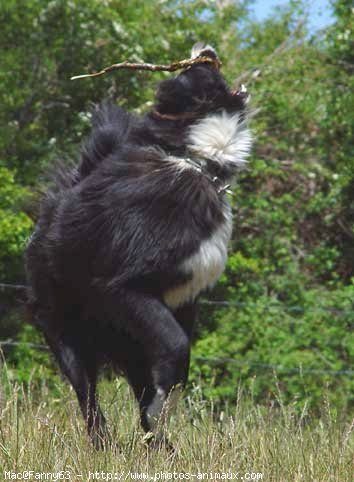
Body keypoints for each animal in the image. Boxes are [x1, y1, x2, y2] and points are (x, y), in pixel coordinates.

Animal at [26, 43, 253, 450]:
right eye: (194, 72)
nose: (204, 47)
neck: (193, 158)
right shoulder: (124, 288)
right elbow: (176, 347)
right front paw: (160, 411)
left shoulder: (184, 301)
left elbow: (175, 365)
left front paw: (158, 418)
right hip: (67, 331)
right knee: (88, 396)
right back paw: (104, 444)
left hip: (126, 340)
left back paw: (158, 445)